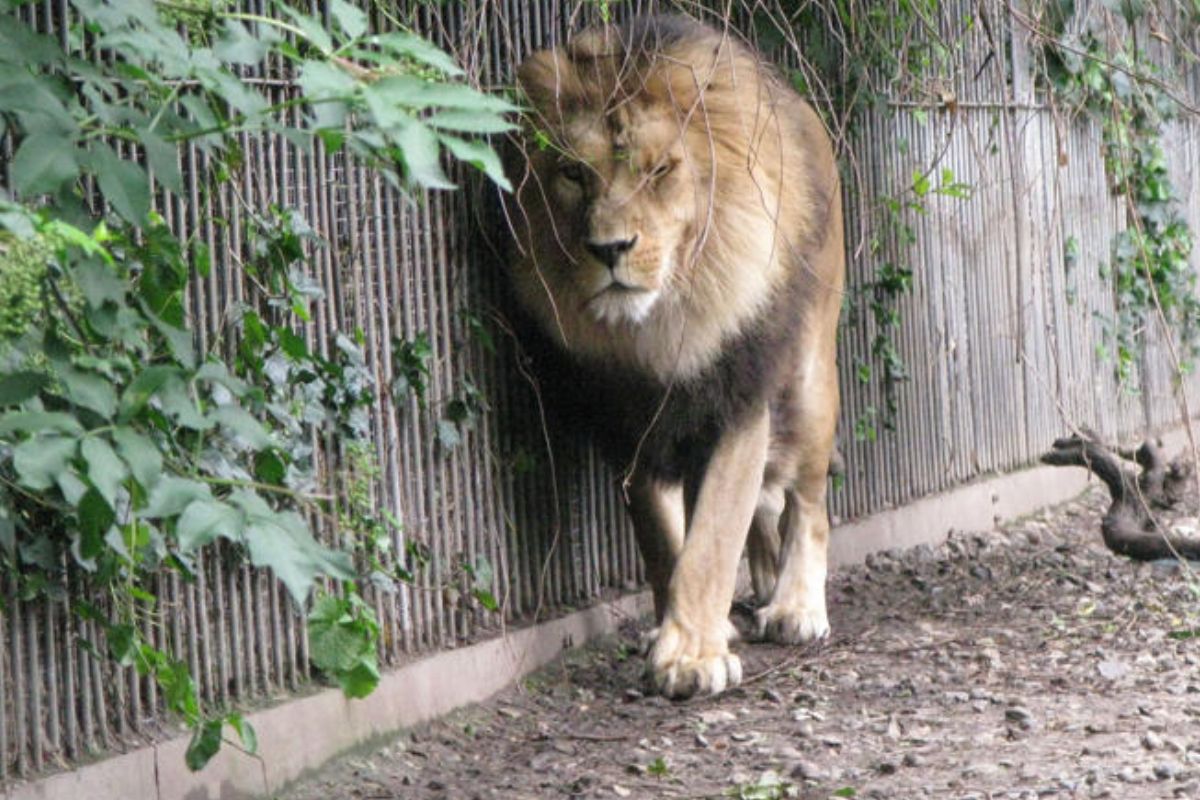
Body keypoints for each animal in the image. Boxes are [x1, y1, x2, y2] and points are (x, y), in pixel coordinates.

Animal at [505, 15, 844, 698]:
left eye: (660, 169)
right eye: (573, 174)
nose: (609, 249)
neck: (661, 326)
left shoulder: (738, 398)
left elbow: (713, 535)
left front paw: (690, 657)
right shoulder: (630, 419)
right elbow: (664, 539)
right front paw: (679, 633)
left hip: (809, 379)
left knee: (807, 500)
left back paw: (796, 607)